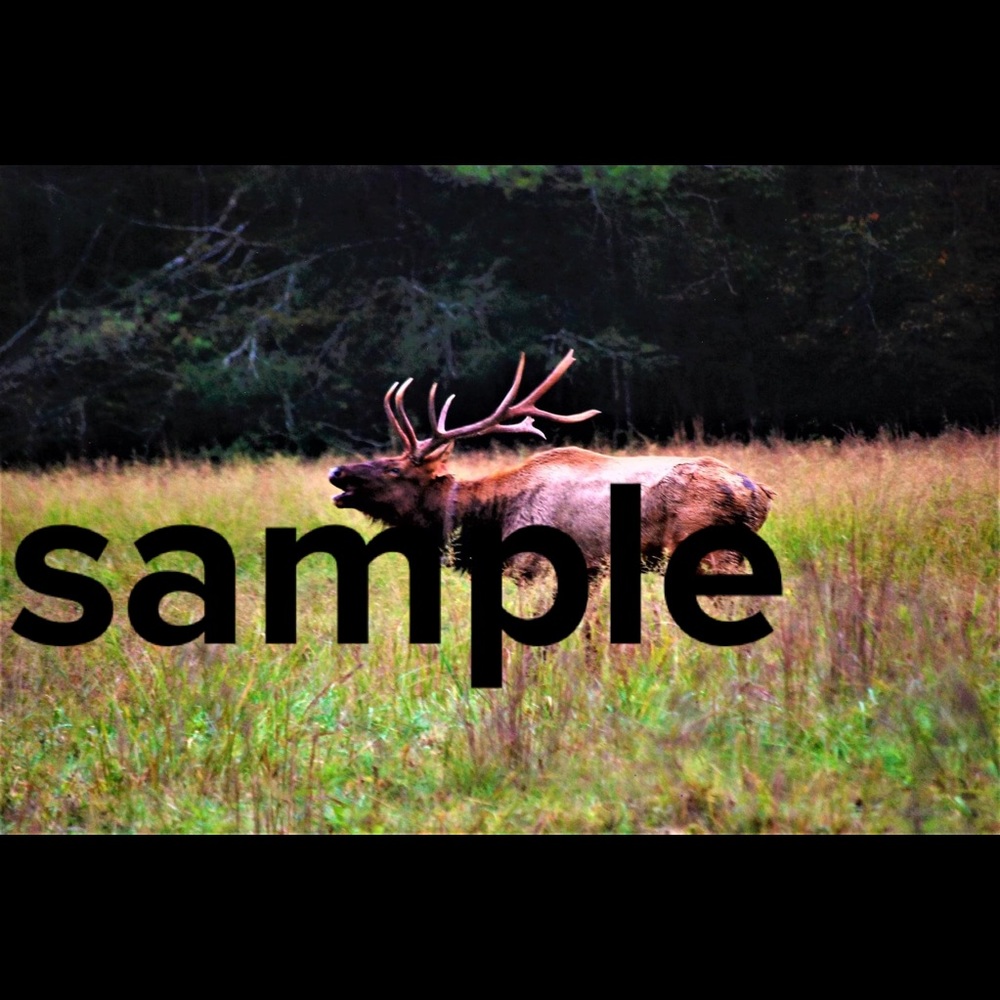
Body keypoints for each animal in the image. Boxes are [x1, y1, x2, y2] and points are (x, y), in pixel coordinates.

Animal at [328, 350, 775, 584]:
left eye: (394, 470)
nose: (338, 472)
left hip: (710, 550)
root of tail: (760, 494)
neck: (486, 523)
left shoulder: (533, 569)